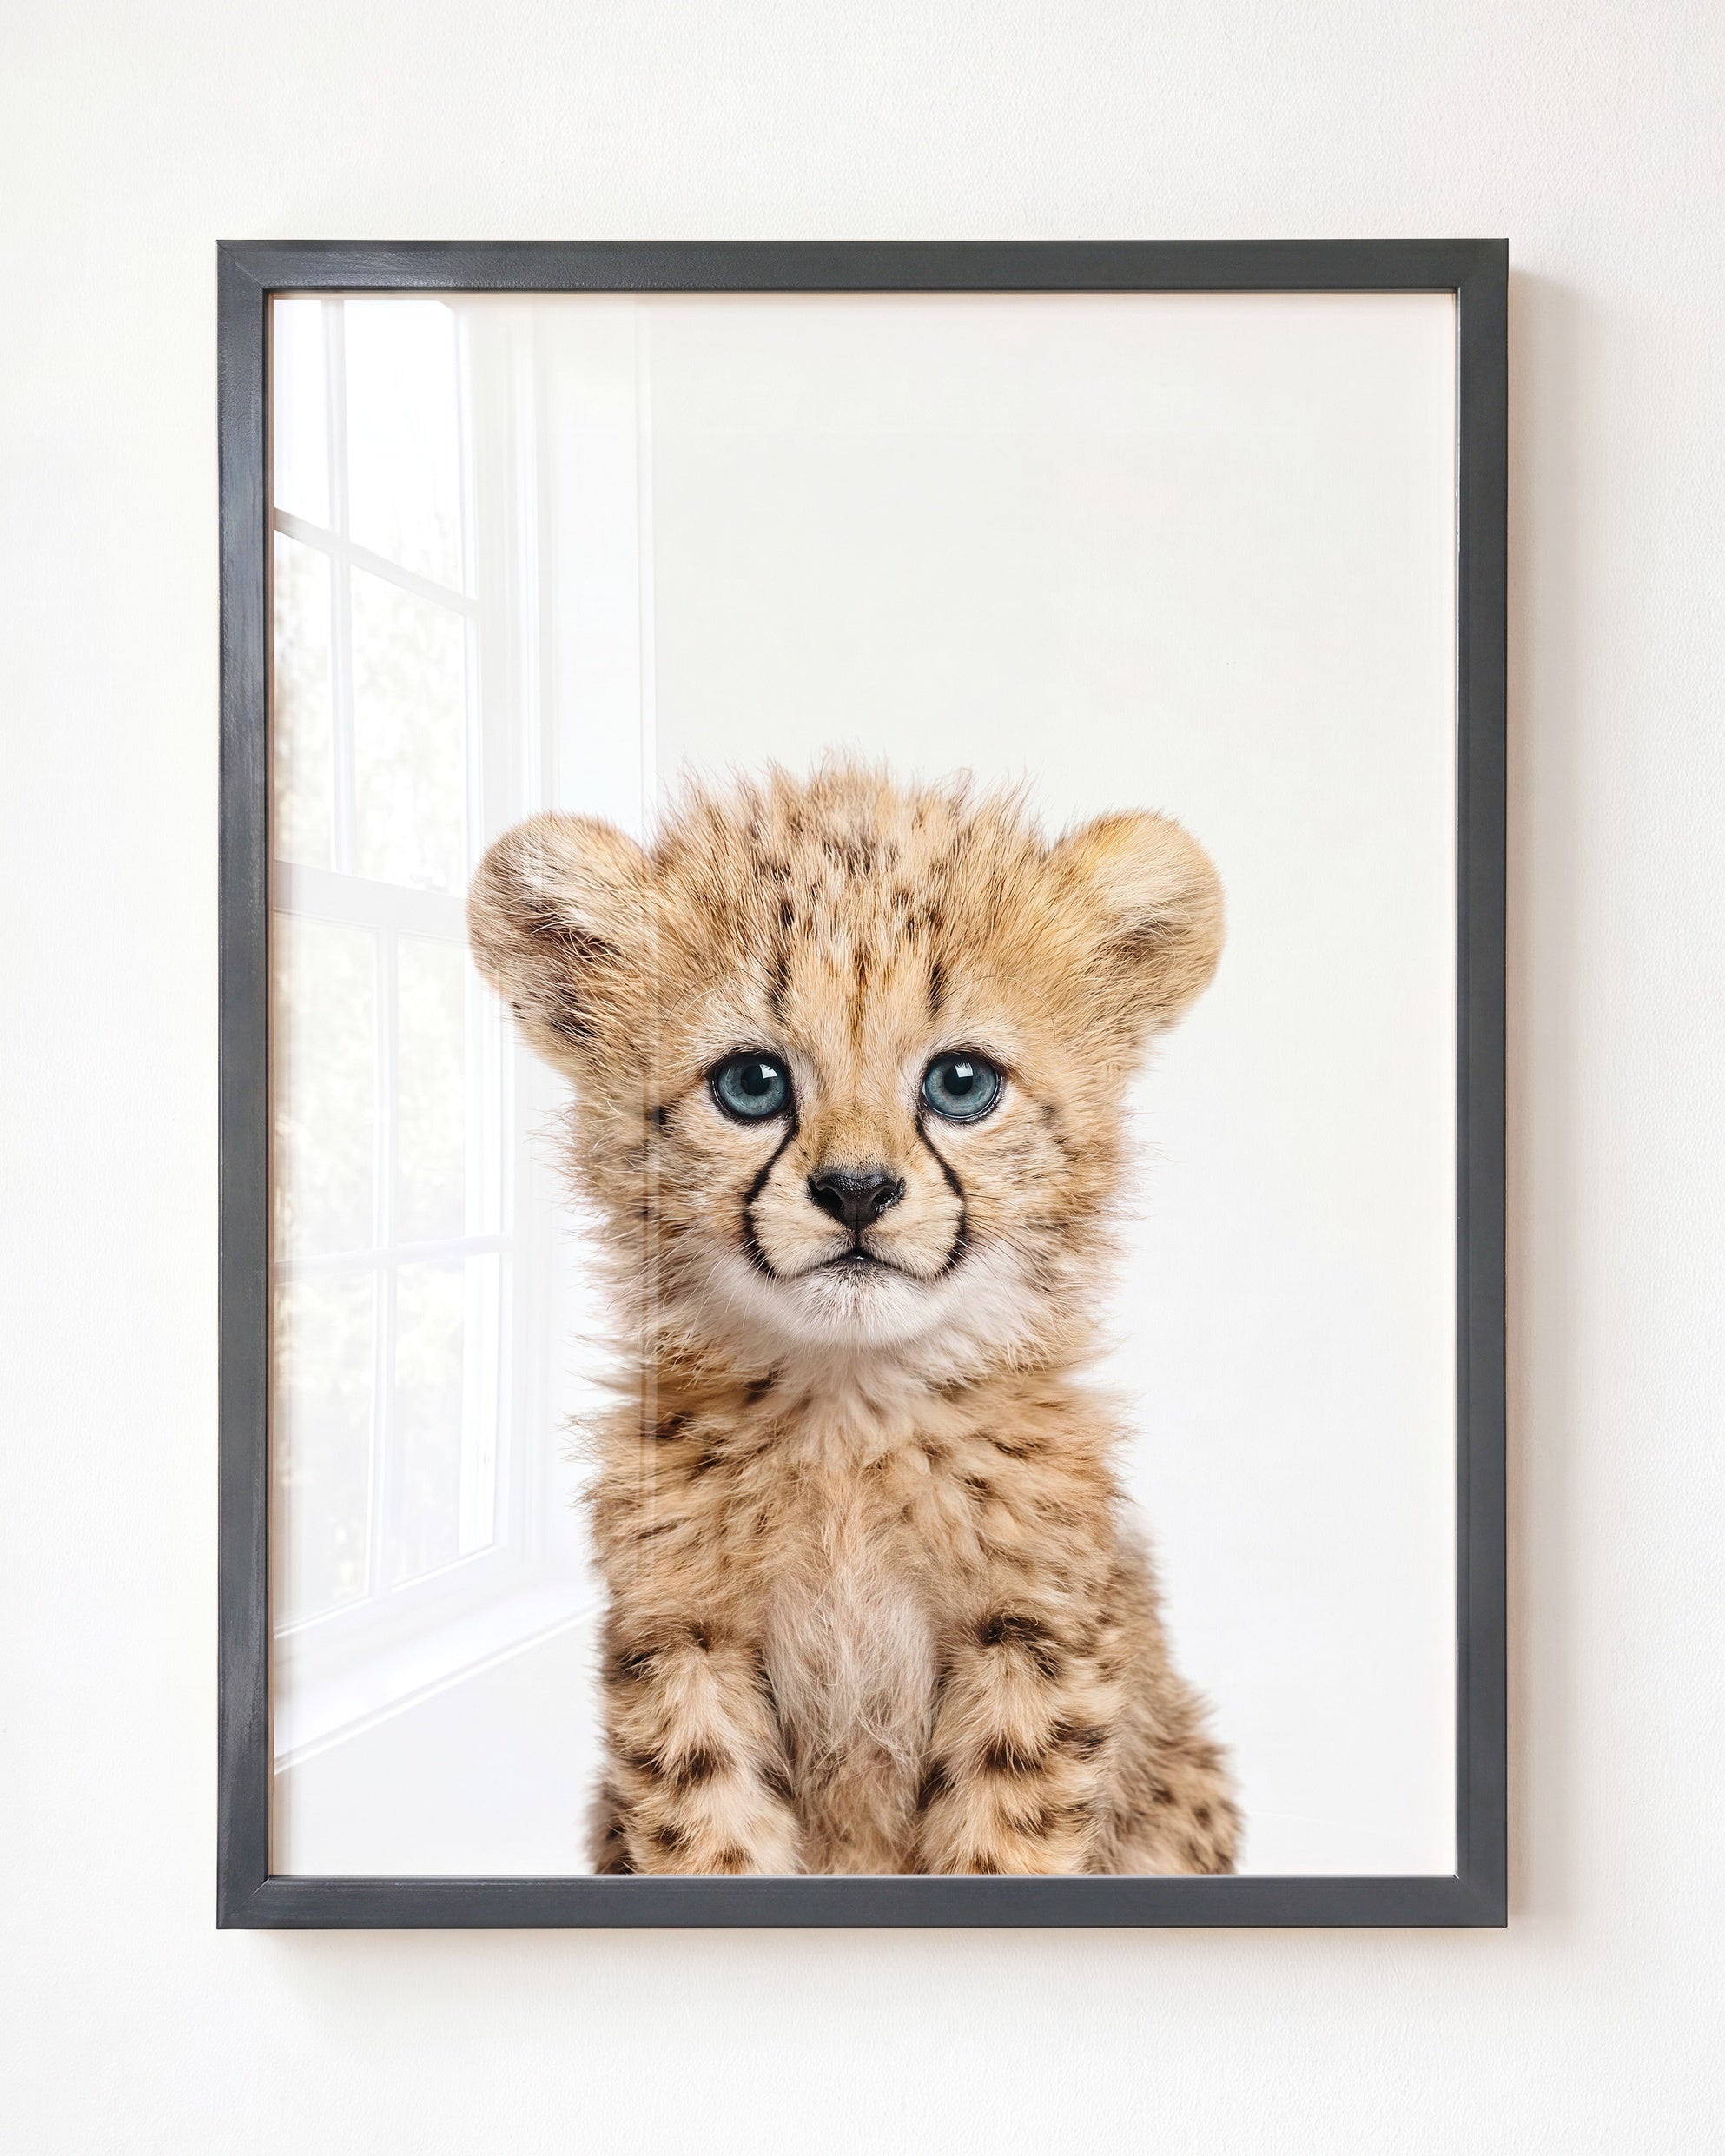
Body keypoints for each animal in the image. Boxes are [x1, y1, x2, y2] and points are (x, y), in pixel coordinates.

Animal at [468, 762, 1239, 1875]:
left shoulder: (1033, 1636)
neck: (850, 1409)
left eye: (961, 1083)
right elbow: (712, 1836)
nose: (858, 1190)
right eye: (752, 1083)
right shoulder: (685, 1636)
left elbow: (1001, 1844)